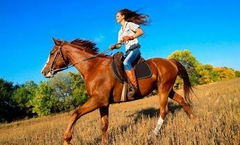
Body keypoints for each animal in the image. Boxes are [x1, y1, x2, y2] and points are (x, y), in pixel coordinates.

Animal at [41, 38, 194, 144]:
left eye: (52, 53)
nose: (44, 72)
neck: (92, 67)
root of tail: (170, 61)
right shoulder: (103, 103)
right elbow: (104, 125)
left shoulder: (98, 100)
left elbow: (74, 114)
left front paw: (67, 139)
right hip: (167, 88)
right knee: (181, 100)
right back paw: (193, 118)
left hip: (163, 89)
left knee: (164, 110)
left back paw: (152, 135)